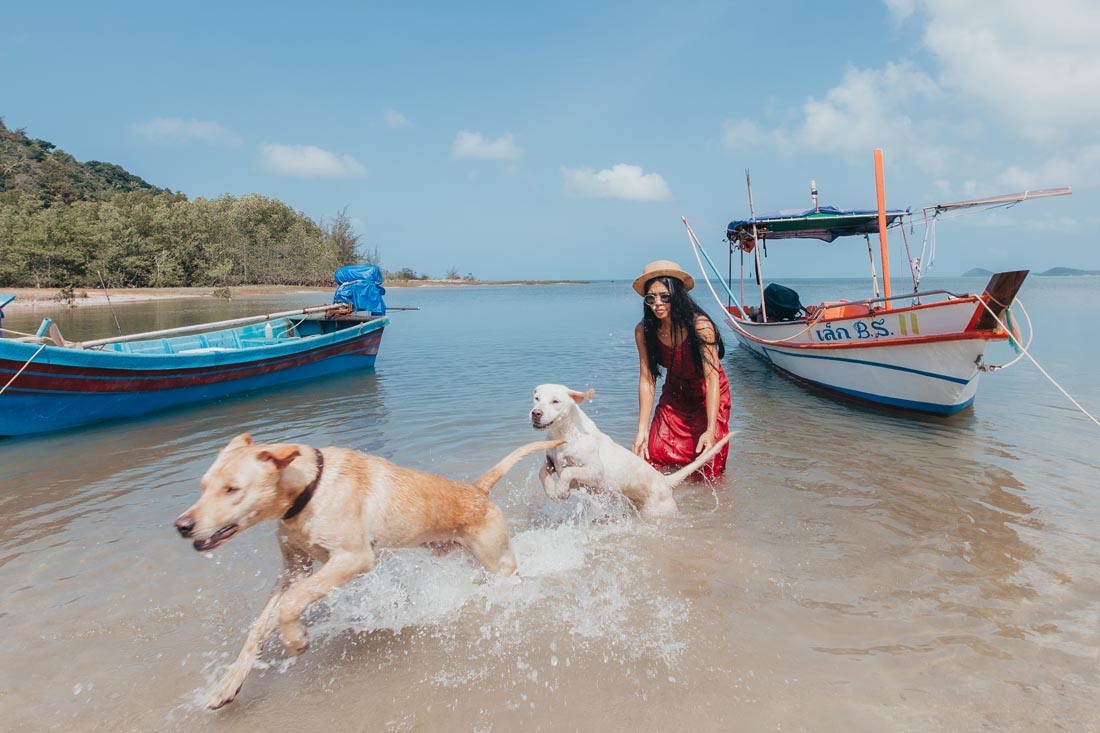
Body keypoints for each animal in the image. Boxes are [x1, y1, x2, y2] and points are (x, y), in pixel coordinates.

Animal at [178, 431, 567, 704]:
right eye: (203, 485)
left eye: (232, 489)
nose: (182, 525)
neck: (310, 488)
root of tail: (476, 490)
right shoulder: (294, 568)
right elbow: (259, 627)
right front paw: (228, 685)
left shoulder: (354, 559)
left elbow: (292, 602)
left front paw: (296, 639)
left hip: (499, 562)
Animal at [530, 383, 734, 519]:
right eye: (537, 398)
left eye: (555, 401)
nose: (535, 413)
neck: (565, 433)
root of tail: (664, 481)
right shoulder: (550, 462)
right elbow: (542, 472)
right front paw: (552, 491)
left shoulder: (594, 472)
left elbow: (569, 472)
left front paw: (561, 491)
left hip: (655, 512)